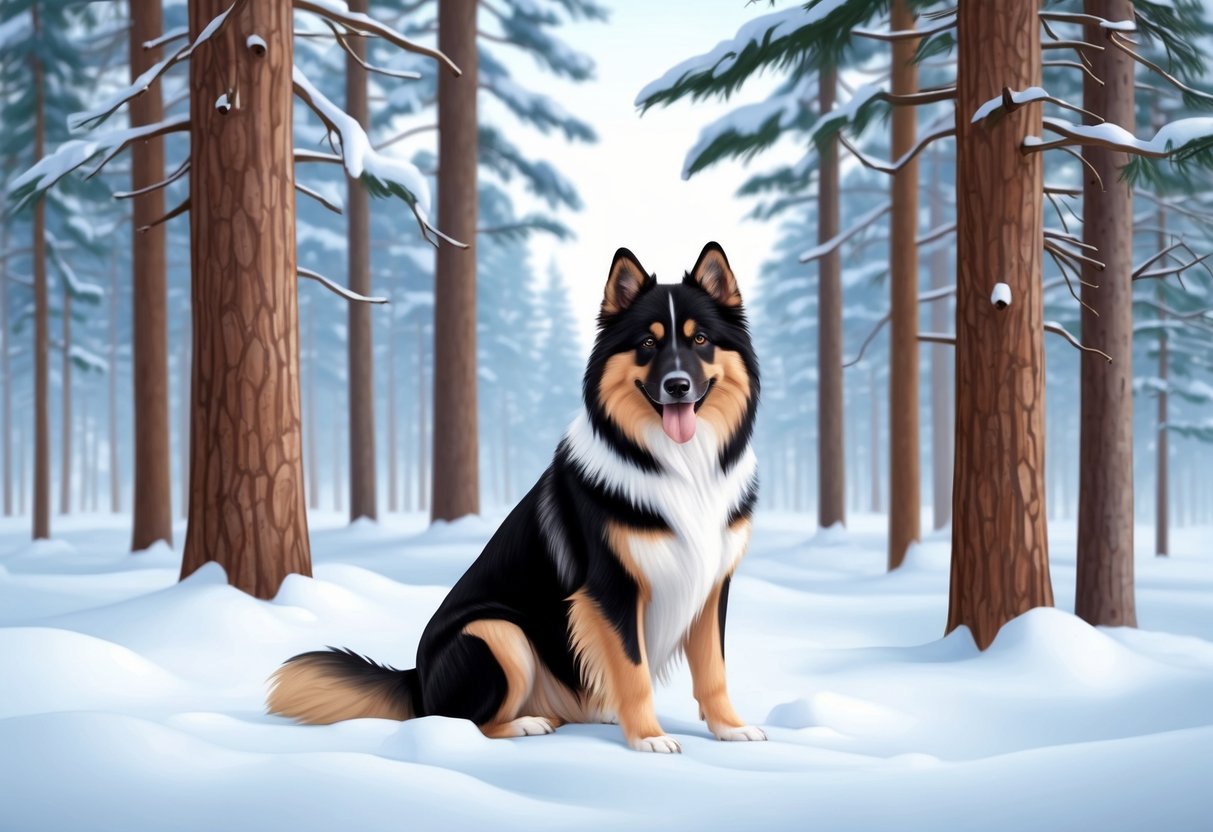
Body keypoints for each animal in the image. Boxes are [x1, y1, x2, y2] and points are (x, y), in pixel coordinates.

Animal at [266, 242, 761, 756]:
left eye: (700, 340)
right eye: (647, 344)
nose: (678, 385)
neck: (679, 464)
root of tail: (416, 681)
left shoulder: (711, 583)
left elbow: (714, 669)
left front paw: (730, 728)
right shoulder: (611, 589)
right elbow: (633, 670)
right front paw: (648, 737)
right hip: (499, 632)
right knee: (464, 719)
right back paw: (527, 723)